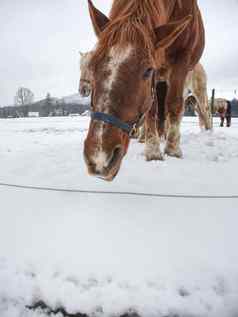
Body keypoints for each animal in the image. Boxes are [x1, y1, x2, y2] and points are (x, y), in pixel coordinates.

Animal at [83, 0, 205, 180]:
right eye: (92, 66)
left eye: (148, 70)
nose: (99, 159)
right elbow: (151, 110)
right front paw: (153, 150)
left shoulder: (181, 60)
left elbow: (174, 104)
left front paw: (172, 149)